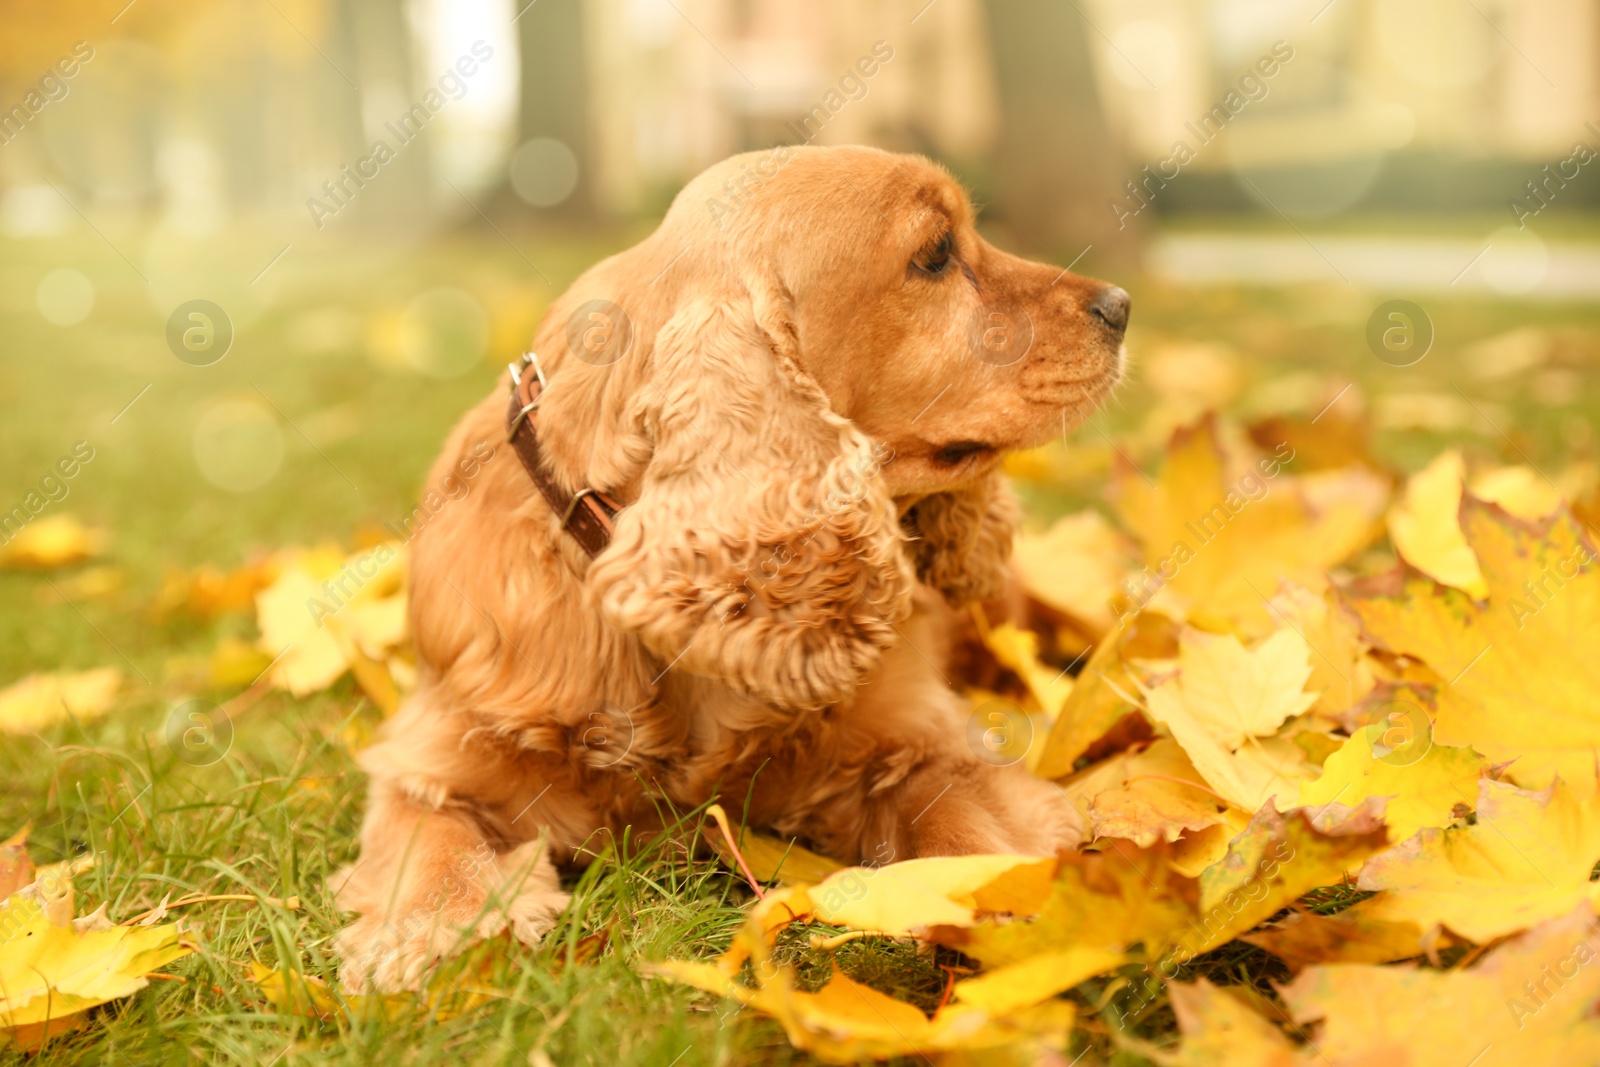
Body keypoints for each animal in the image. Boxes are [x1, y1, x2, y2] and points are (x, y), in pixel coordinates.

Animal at [336, 146, 1132, 991]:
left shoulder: (915, 735)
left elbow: (955, 801)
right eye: (937, 253)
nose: (1121, 304)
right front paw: (431, 931)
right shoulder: (436, 750)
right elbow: (428, 837)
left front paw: (1005, 900)